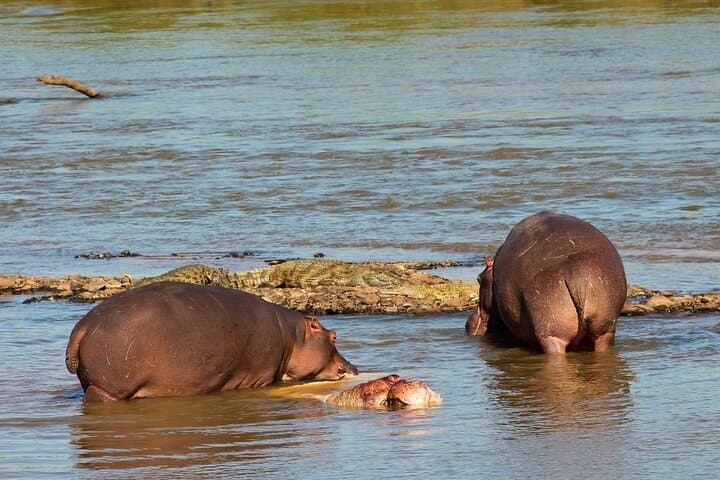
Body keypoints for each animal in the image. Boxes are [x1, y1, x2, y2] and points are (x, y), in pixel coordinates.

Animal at [66, 281, 358, 402]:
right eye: (333, 336)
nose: (354, 368)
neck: (292, 336)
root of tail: (84, 325)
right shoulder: (261, 374)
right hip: (107, 390)